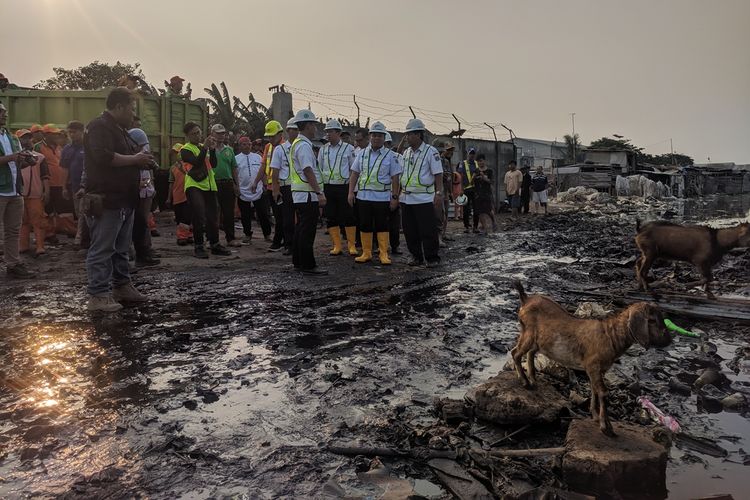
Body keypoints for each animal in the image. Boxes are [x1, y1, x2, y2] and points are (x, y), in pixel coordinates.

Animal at [512, 282, 668, 438]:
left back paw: (533, 380)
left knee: (529, 353)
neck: (611, 335)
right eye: (652, 320)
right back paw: (525, 382)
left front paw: (595, 416)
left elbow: (594, 389)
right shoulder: (593, 366)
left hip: (538, 340)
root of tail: (526, 299)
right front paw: (606, 427)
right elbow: (603, 392)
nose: (669, 339)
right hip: (528, 332)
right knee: (516, 353)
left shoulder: (600, 370)